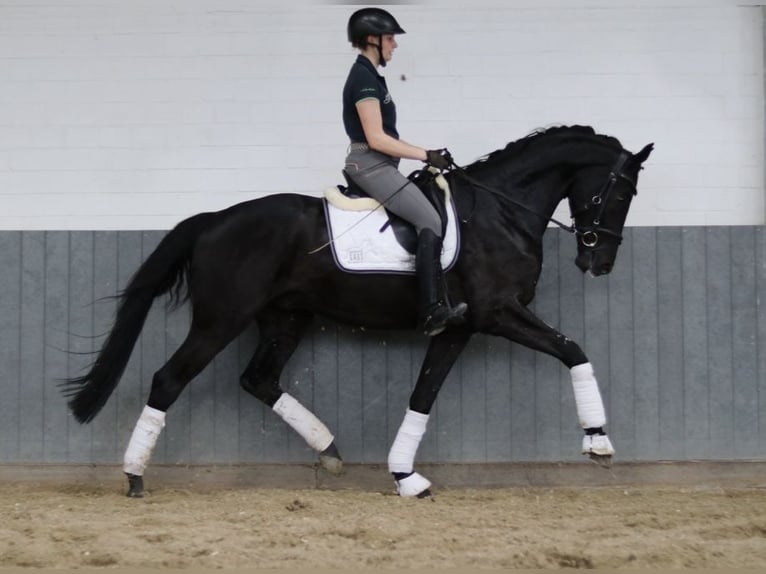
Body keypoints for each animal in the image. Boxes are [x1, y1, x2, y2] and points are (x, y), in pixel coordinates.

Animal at [64, 125, 656, 500]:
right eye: (620, 193)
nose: (598, 262)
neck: (500, 210)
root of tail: (214, 220)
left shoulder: (459, 327)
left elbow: (423, 396)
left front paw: (405, 477)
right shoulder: (495, 313)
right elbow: (574, 350)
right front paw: (598, 441)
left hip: (285, 319)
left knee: (258, 379)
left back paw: (328, 449)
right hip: (220, 320)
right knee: (169, 380)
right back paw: (134, 478)